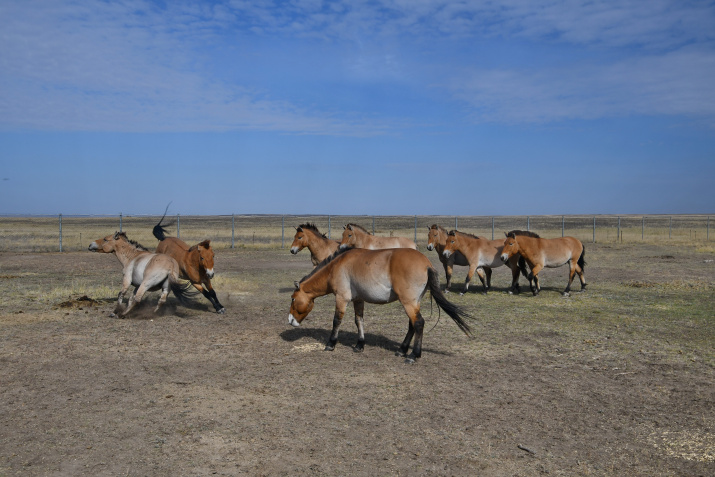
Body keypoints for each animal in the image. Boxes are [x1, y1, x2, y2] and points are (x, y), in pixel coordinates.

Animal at [286, 247, 476, 362]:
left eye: (293, 299)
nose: (290, 320)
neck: (337, 266)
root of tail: (427, 264)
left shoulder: (341, 299)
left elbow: (336, 321)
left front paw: (331, 344)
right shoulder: (358, 300)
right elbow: (359, 321)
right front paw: (359, 345)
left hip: (408, 303)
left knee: (418, 323)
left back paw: (413, 355)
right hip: (413, 303)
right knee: (412, 325)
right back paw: (402, 350)